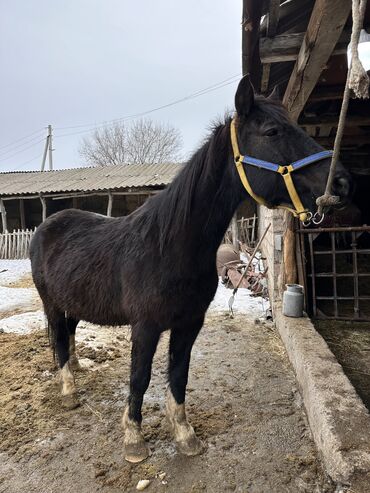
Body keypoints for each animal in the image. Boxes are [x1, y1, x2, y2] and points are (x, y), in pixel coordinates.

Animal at [30, 76, 352, 462]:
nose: (342, 183)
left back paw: (77, 369)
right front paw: (134, 439)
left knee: (68, 333)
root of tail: (47, 225)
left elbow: (179, 375)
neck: (169, 247)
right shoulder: (146, 327)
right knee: (60, 338)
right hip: (51, 302)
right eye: (272, 131)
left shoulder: (190, 323)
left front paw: (185, 435)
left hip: (75, 302)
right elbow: (140, 377)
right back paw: (69, 390)